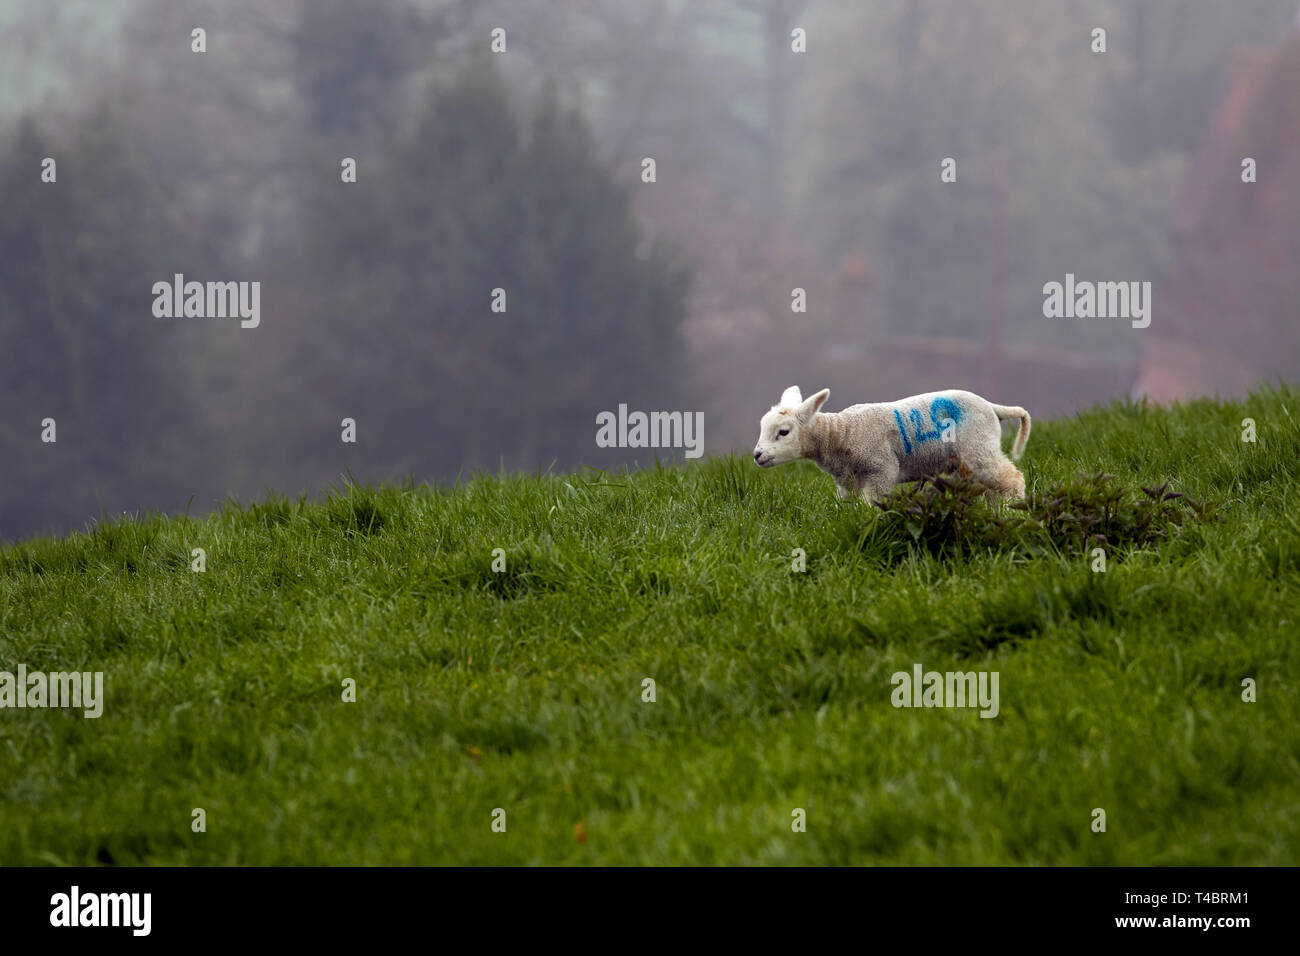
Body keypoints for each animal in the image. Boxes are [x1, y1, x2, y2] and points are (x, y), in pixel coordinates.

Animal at [759, 387, 1029, 504]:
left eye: (783, 432)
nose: (757, 455)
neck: (841, 432)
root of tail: (992, 406)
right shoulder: (848, 480)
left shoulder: (881, 468)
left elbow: (871, 501)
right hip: (967, 461)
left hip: (978, 445)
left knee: (1011, 477)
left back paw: (1012, 507)